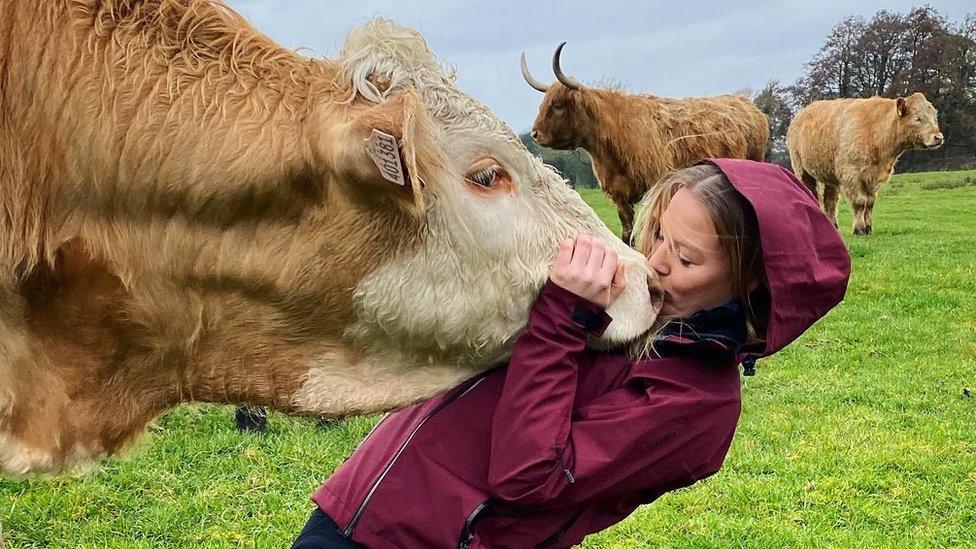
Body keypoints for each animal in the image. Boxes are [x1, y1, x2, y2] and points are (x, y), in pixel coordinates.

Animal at [524, 42, 768, 240]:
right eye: (543, 103)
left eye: (557, 104)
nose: (535, 134)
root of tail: (746, 103)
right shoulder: (621, 198)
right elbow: (627, 235)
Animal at [784, 92, 944, 233]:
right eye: (918, 118)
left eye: (934, 117)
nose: (938, 137)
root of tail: (803, 112)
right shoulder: (852, 175)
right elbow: (860, 202)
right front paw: (859, 229)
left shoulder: (872, 178)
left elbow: (870, 203)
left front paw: (868, 227)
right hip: (802, 170)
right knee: (811, 194)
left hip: (830, 175)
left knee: (830, 200)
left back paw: (833, 225)